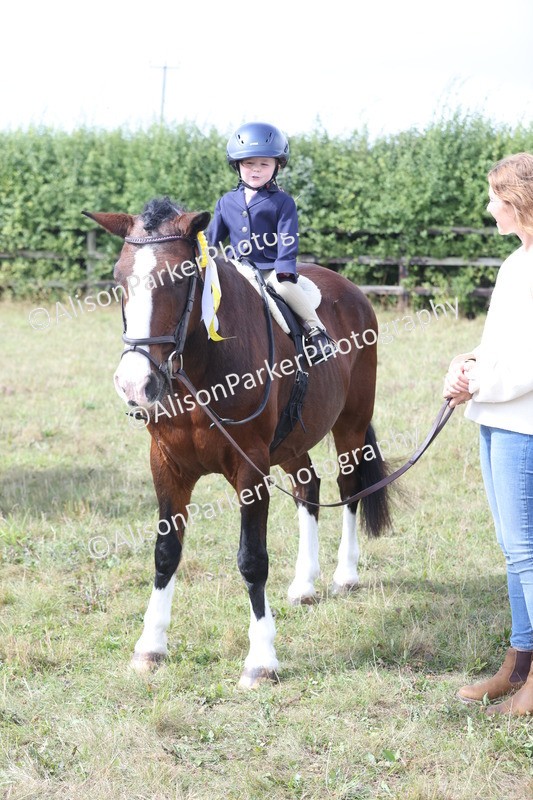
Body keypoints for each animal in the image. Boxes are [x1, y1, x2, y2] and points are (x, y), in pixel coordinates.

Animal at [83, 197, 392, 688]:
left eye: (180, 278)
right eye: (118, 278)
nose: (135, 385)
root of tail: (351, 290)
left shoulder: (251, 469)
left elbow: (252, 559)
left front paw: (261, 660)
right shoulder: (166, 466)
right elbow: (166, 552)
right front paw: (151, 646)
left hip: (351, 426)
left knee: (349, 488)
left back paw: (345, 575)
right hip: (291, 442)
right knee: (308, 487)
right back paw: (305, 584)